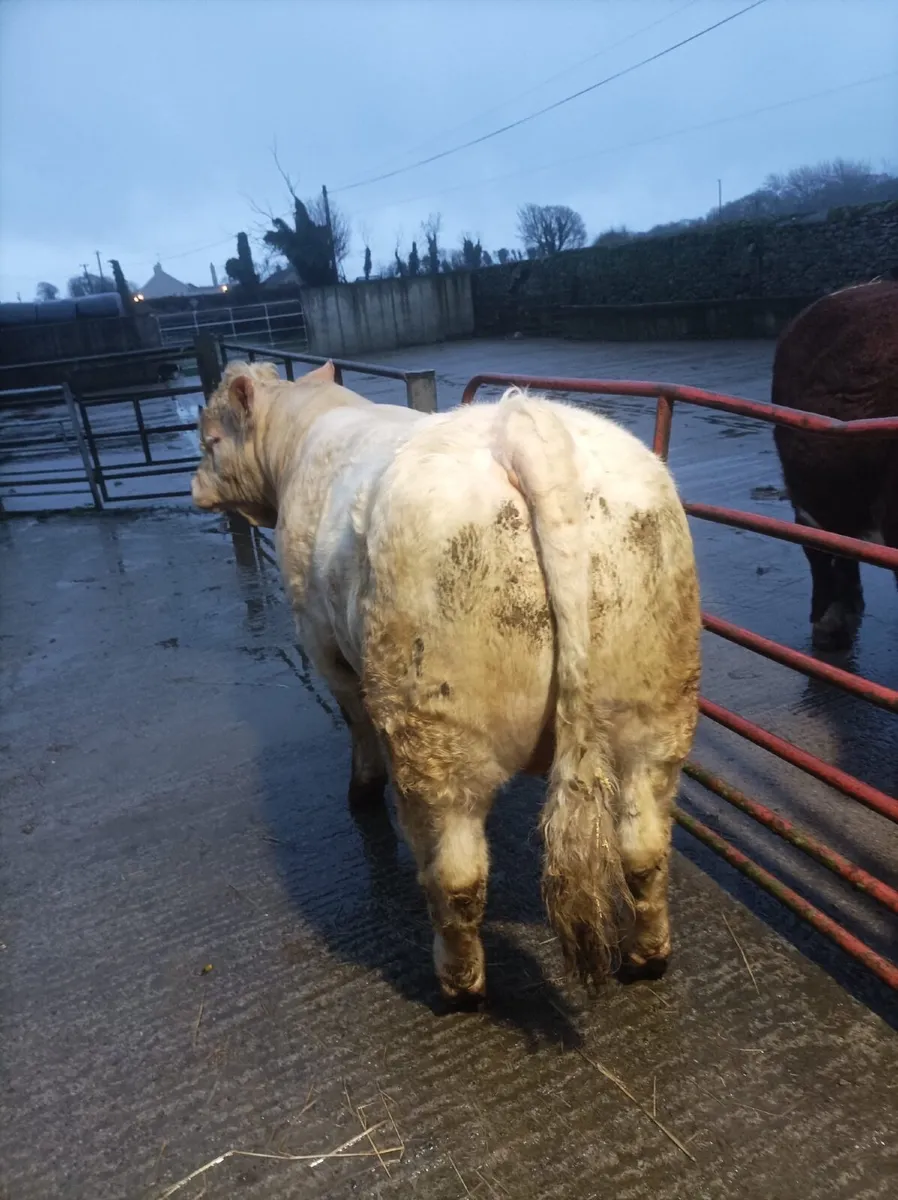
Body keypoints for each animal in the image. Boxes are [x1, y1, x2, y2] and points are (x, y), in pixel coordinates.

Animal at [191, 361, 701, 1002]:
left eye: (210, 440)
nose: (193, 486)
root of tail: (521, 424)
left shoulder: (321, 641)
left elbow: (355, 722)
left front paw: (361, 792)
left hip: (434, 728)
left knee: (456, 873)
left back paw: (458, 984)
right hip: (657, 708)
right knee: (645, 847)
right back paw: (646, 956)